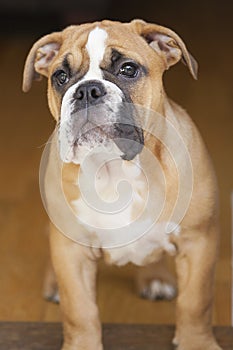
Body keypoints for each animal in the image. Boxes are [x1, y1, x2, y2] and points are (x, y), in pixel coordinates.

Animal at [21, 19, 220, 350]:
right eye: (61, 77)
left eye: (128, 69)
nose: (87, 90)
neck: (115, 167)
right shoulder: (72, 250)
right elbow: (80, 310)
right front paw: (82, 345)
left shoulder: (198, 242)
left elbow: (196, 302)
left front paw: (197, 343)